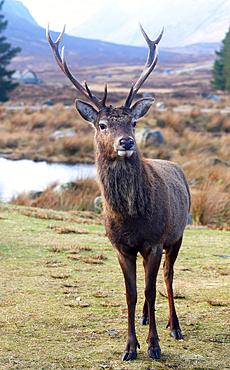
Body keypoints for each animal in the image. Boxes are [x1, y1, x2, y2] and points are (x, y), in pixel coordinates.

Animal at [46, 23, 190, 362]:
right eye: (101, 124)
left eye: (134, 122)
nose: (126, 142)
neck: (130, 217)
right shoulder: (120, 247)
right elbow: (132, 293)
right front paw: (129, 347)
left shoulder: (154, 241)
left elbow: (149, 289)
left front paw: (153, 346)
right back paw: (147, 319)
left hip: (177, 235)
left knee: (168, 277)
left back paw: (174, 327)